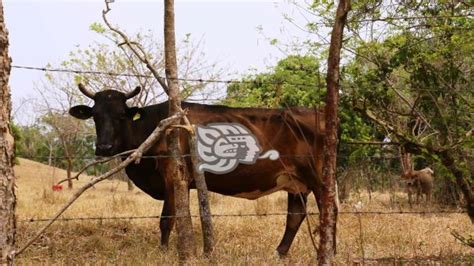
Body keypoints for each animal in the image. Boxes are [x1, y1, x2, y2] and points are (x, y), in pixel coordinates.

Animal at [68, 84, 332, 256]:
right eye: (95, 115)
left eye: (122, 115)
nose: (104, 147)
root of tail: (317, 111)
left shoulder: (173, 175)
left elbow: (167, 219)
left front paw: (164, 252)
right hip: (295, 183)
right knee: (295, 216)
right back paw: (280, 252)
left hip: (318, 178)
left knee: (328, 210)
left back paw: (329, 250)